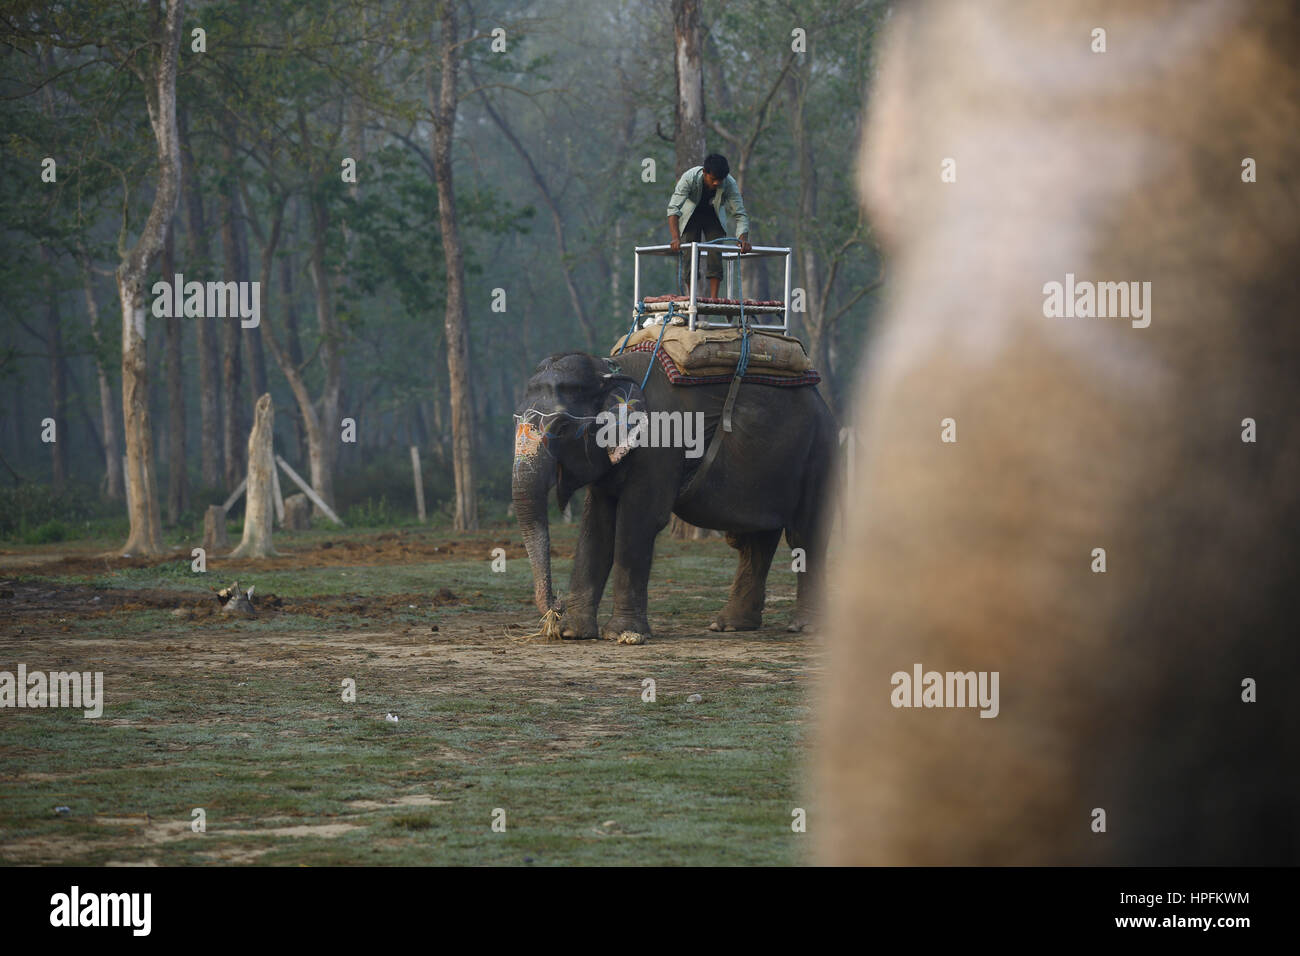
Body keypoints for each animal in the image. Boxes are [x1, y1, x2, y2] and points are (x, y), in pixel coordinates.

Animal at [506, 348, 832, 647]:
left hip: (817, 451)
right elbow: (596, 525)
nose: (556, 605)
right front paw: (571, 633)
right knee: (756, 541)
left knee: (804, 534)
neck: (611, 370)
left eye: (562, 426)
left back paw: (804, 628)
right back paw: (729, 626)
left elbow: (639, 520)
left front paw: (624, 634)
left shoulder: (660, 443)